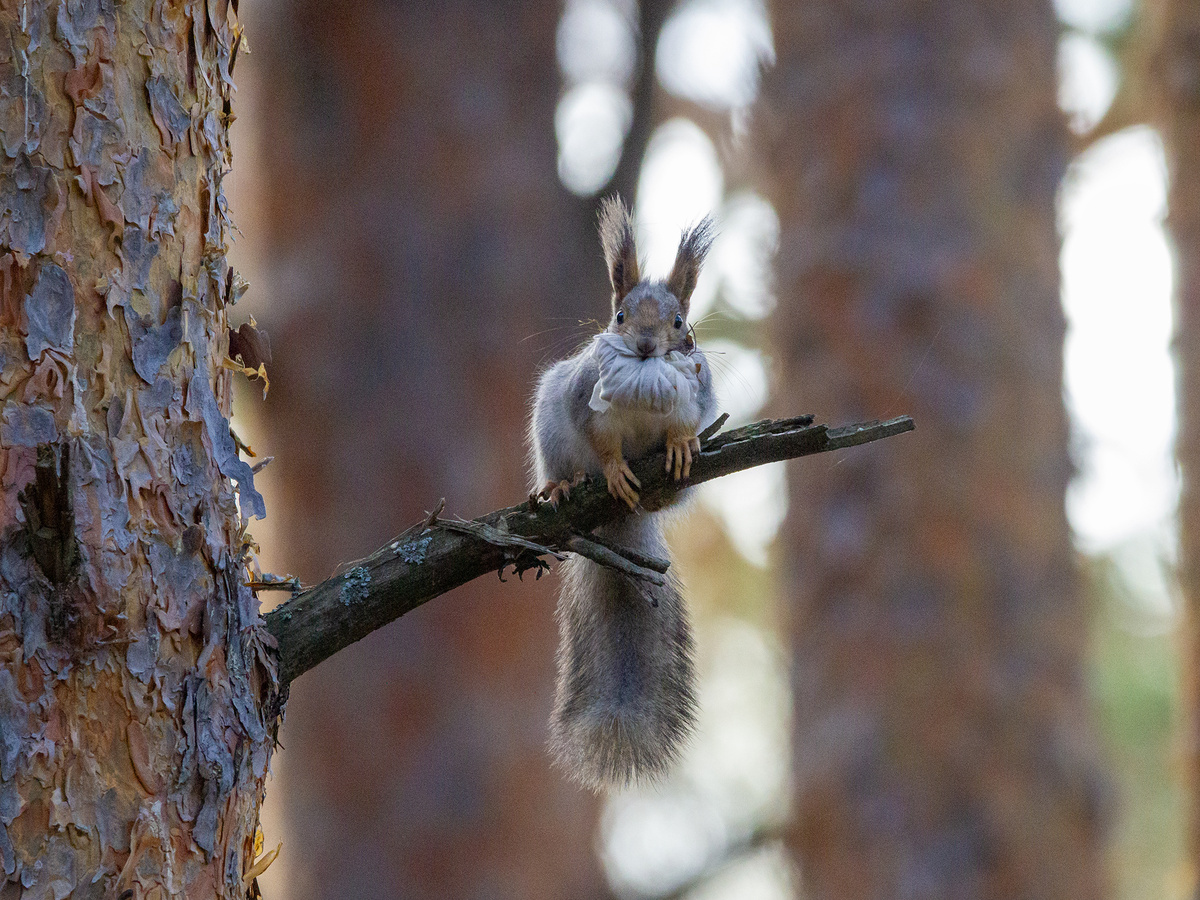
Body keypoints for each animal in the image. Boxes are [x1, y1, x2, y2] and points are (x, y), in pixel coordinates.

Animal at [529, 197, 718, 791]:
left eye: (679, 322)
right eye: (619, 316)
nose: (645, 345)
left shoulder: (696, 398)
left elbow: (684, 425)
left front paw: (679, 445)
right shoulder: (589, 404)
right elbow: (604, 444)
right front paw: (612, 470)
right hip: (551, 425)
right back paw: (566, 484)